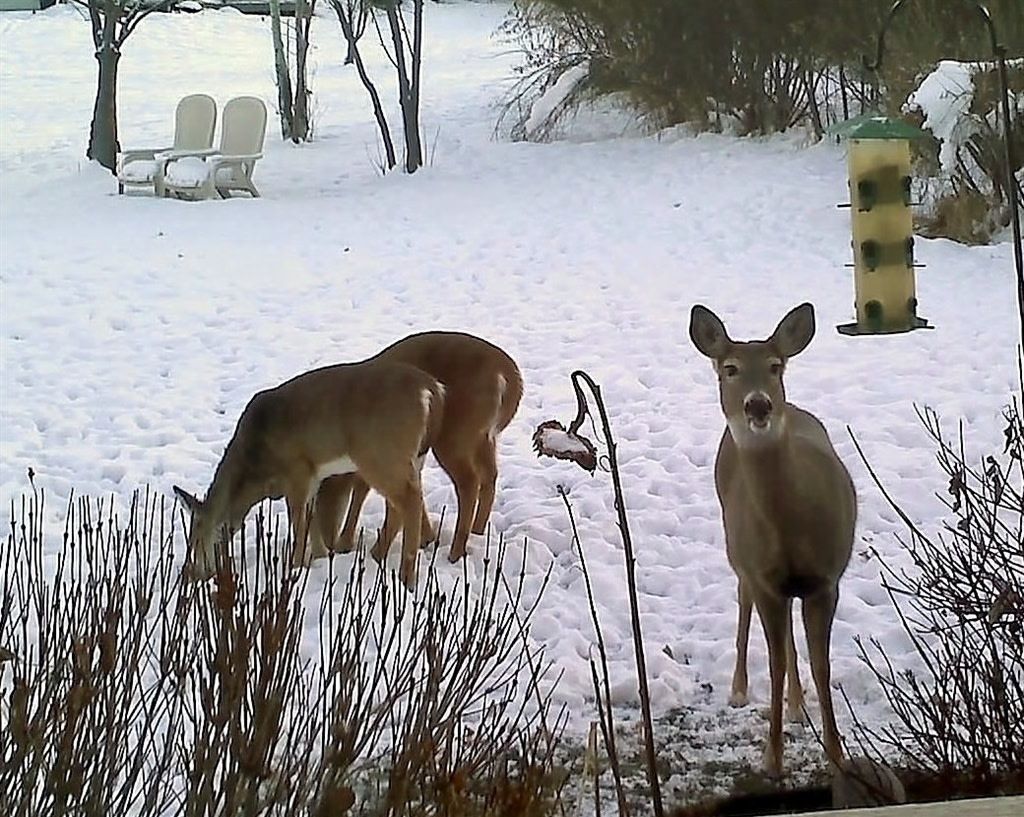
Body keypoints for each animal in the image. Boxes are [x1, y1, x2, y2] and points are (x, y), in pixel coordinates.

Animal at [172, 360, 444, 589]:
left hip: (379, 452)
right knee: (405, 502)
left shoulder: (298, 469)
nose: (189, 574)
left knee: (408, 501)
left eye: (196, 540)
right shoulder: (313, 476)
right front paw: (321, 558)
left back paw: (406, 577)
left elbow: (299, 521)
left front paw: (295, 567)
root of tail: (432, 390)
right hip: (413, 458)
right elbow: (312, 520)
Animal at [311, 331, 524, 565]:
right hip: (483, 437)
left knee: (469, 483)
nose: (328, 546)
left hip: (453, 435)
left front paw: (345, 543)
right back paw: (476, 533)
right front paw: (427, 537)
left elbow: (362, 489)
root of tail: (508, 375)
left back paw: (455, 552)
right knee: (490, 476)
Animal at [688, 303, 856, 778]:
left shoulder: (825, 579)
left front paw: (837, 756)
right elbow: (776, 662)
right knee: (745, 605)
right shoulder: (765, 578)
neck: (791, 530)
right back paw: (740, 688)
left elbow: (821, 664)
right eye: (729, 368)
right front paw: (772, 759)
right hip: (737, 553)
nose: (759, 404)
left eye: (775, 366)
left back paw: (798, 706)